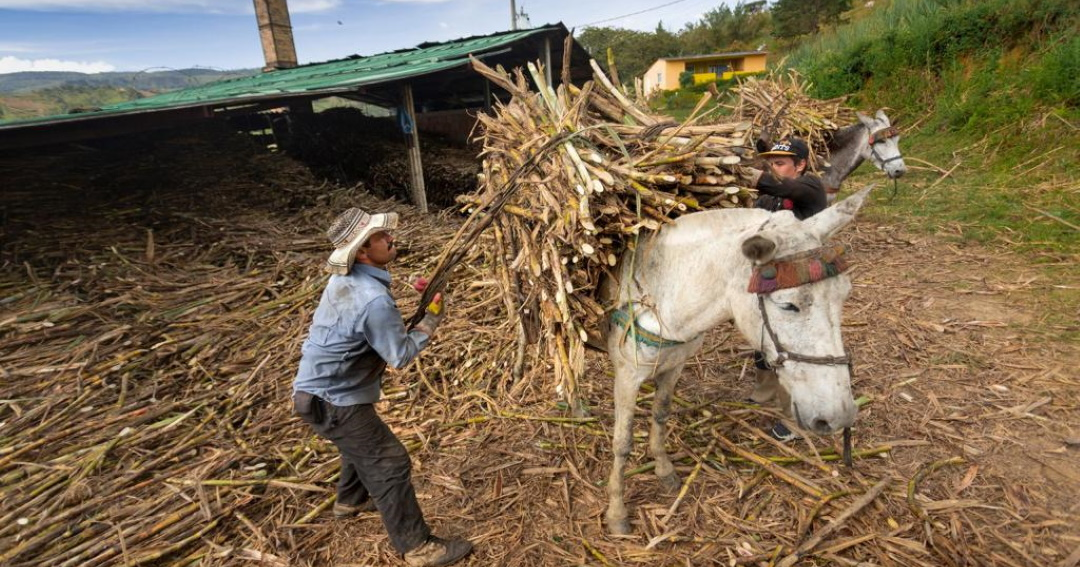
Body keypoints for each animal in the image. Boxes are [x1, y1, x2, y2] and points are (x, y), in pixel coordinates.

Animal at [604, 186, 872, 535]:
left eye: (844, 295)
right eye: (788, 305)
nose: (839, 416)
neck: (661, 287)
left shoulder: (674, 365)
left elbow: (660, 415)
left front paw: (663, 470)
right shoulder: (628, 375)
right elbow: (622, 442)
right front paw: (617, 512)